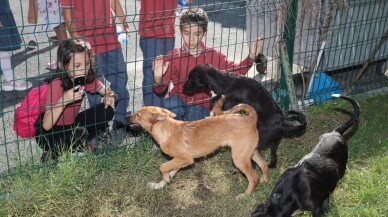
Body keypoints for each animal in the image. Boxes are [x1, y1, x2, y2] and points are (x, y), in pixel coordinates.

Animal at [126, 101, 268, 198]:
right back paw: (266, 181)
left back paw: (245, 195)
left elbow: (163, 167)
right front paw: (159, 185)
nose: (126, 117)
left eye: (138, 114)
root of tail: (250, 118)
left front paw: (165, 179)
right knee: (264, 164)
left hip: (239, 158)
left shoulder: (186, 159)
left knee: (253, 178)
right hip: (249, 153)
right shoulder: (180, 160)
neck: (166, 130)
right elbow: (170, 170)